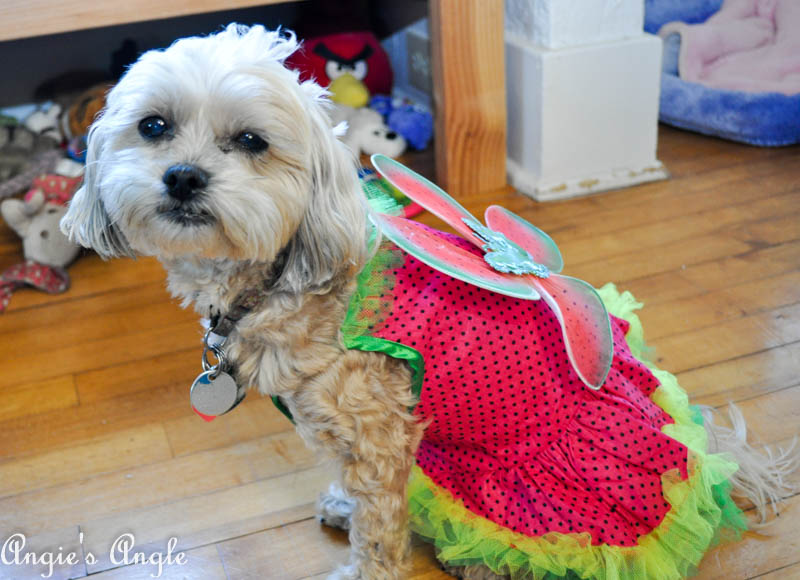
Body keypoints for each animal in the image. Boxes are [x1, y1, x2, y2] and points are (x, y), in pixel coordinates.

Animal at [61, 23, 792, 580]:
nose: (183, 177)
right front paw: (345, 509)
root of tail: (705, 459)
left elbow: (380, 534)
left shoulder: (378, 437)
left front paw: (364, 568)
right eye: (154, 126)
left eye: (250, 142)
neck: (285, 284)